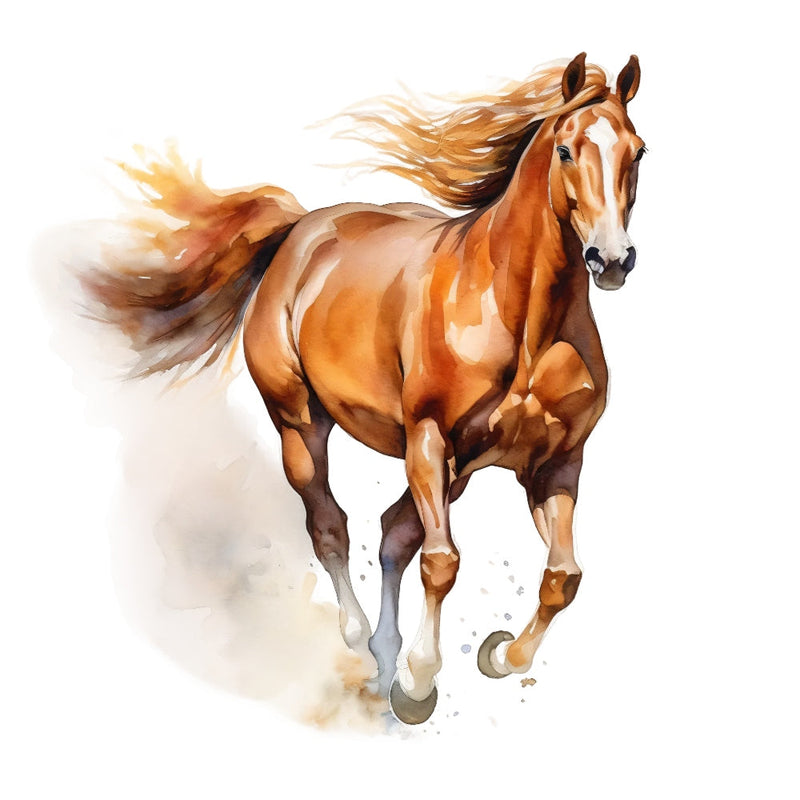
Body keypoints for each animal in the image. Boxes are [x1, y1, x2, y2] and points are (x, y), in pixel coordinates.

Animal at [80, 53, 645, 724]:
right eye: (565, 149)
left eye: (638, 152)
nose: (612, 260)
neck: (520, 319)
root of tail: (300, 230)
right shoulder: (428, 441)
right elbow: (442, 562)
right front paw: (421, 683)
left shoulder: (554, 463)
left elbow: (562, 577)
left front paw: (501, 655)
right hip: (304, 427)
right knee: (332, 526)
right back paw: (359, 643)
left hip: (456, 470)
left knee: (392, 531)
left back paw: (384, 652)